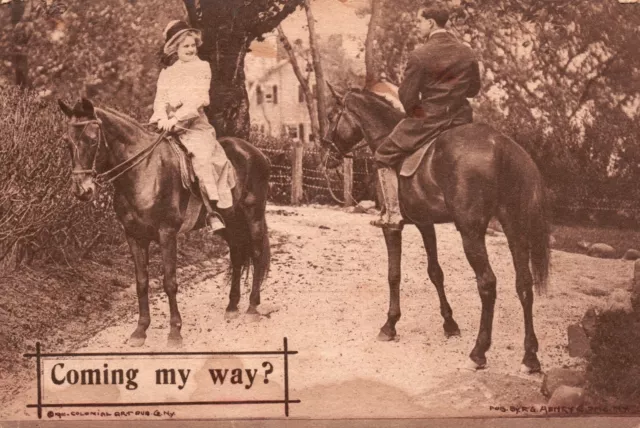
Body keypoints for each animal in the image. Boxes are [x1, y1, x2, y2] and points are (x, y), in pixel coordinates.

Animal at [58, 98, 272, 348]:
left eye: (93, 140)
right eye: (66, 142)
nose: (82, 191)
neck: (144, 171)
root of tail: (255, 152)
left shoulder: (167, 234)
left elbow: (170, 282)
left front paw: (175, 332)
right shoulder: (134, 236)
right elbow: (142, 282)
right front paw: (140, 331)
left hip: (253, 216)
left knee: (256, 254)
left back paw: (252, 308)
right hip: (231, 221)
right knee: (237, 256)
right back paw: (231, 307)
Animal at [322, 86, 552, 372]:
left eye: (331, 116)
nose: (326, 156)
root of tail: (503, 146)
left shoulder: (392, 228)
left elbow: (393, 274)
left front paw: (390, 325)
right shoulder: (425, 223)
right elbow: (435, 272)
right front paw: (450, 324)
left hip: (471, 233)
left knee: (487, 283)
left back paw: (479, 352)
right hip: (515, 230)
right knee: (524, 285)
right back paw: (530, 356)